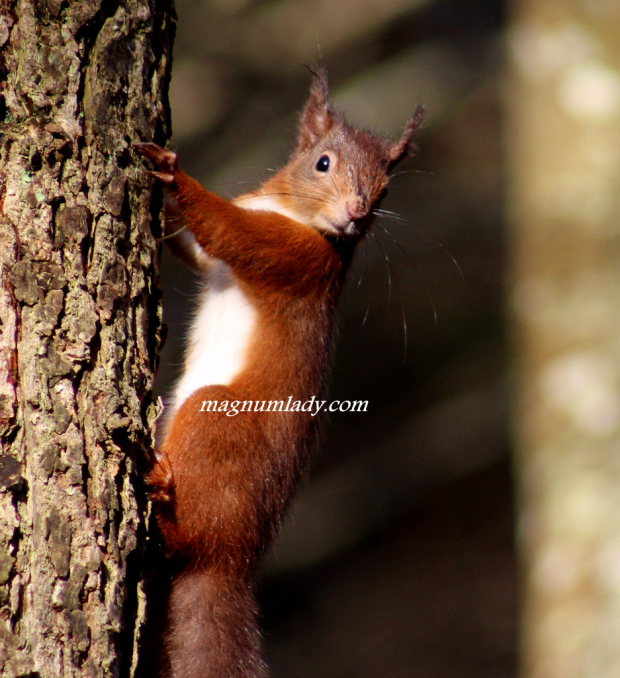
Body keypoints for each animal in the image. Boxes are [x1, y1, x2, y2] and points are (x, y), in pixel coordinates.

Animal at [134, 66, 424, 678]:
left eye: (386, 190)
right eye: (322, 162)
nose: (358, 212)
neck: (298, 216)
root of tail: (232, 561)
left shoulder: (292, 257)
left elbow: (226, 228)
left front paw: (174, 172)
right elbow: (197, 247)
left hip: (215, 419)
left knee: (185, 540)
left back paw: (157, 482)